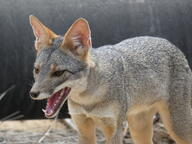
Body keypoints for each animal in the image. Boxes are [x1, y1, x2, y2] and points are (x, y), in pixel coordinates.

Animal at [29, 14, 192, 144]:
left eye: (59, 73)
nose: (33, 93)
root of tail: (169, 42)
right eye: (37, 70)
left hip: (177, 128)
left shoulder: (114, 130)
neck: (88, 101)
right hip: (138, 129)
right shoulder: (83, 128)